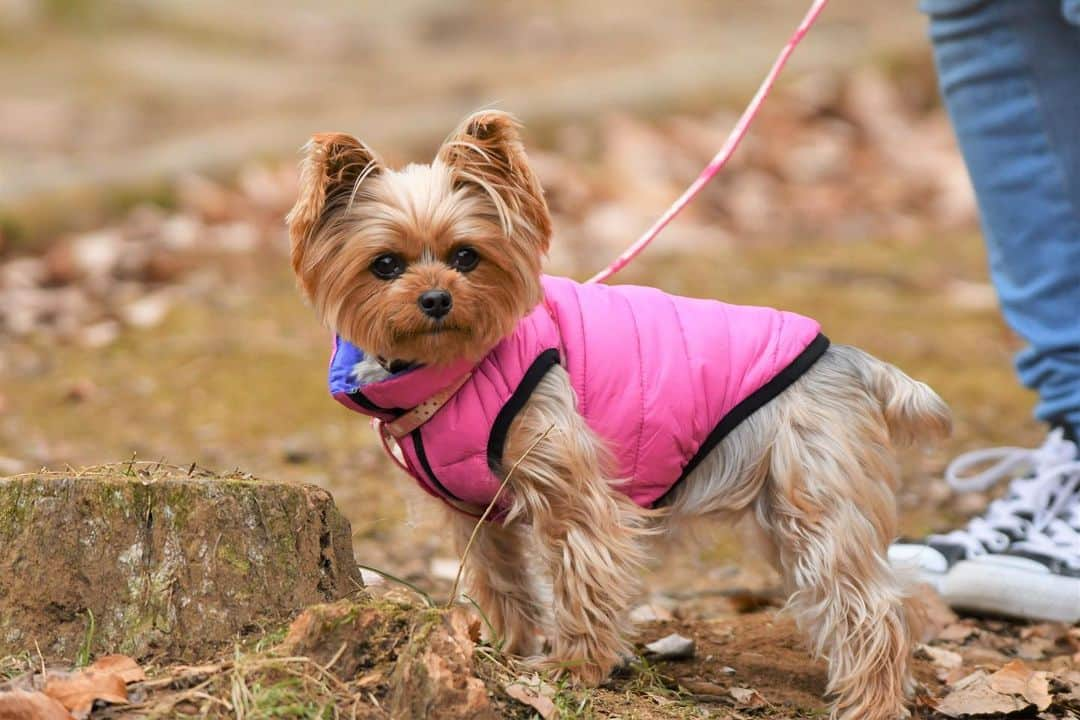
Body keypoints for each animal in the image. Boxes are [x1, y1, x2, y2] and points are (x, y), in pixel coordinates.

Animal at [289, 112, 954, 720]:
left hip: (812, 492)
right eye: (385, 265)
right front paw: (509, 646)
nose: (436, 298)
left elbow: (581, 573)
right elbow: (503, 579)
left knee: (870, 604)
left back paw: (872, 702)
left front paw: (574, 666)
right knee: (895, 596)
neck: (455, 369)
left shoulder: (573, 486)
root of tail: (850, 357)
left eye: (466, 256)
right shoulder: (477, 511)